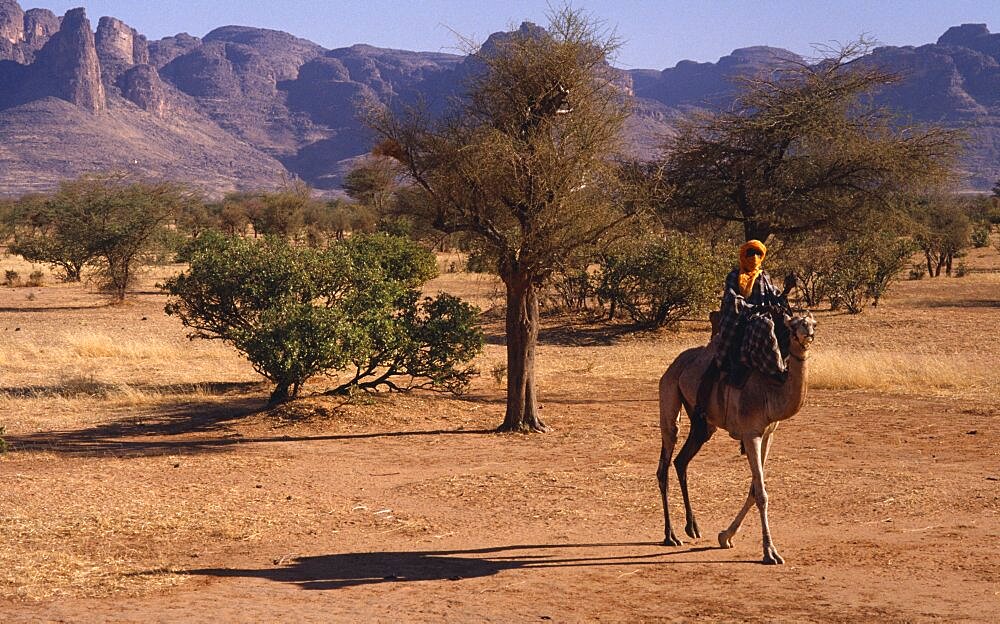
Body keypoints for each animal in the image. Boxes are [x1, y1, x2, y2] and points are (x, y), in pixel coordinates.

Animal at [656, 310, 820, 564]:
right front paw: (770, 552)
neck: (770, 391)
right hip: (669, 395)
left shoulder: (768, 434)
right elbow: (761, 493)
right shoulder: (750, 433)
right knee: (664, 461)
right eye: (793, 326)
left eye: (814, 323)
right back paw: (670, 536)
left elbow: (754, 489)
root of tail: (673, 365)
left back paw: (692, 528)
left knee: (681, 461)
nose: (808, 334)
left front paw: (725, 536)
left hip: (703, 424)